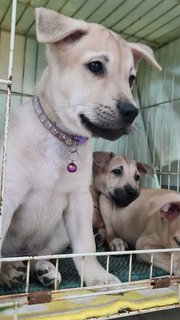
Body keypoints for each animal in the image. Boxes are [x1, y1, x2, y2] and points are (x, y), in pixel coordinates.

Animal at [0, 6, 160, 288]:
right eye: (95, 66)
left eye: (131, 79)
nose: (132, 112)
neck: (62, 139)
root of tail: (21, 256)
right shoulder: (7, 195)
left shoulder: (79, 202)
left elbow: (86, 247)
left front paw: (97, 278)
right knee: (8, 258)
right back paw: (9, 271)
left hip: (60, 233)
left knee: (39, 256)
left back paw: (43, 270)